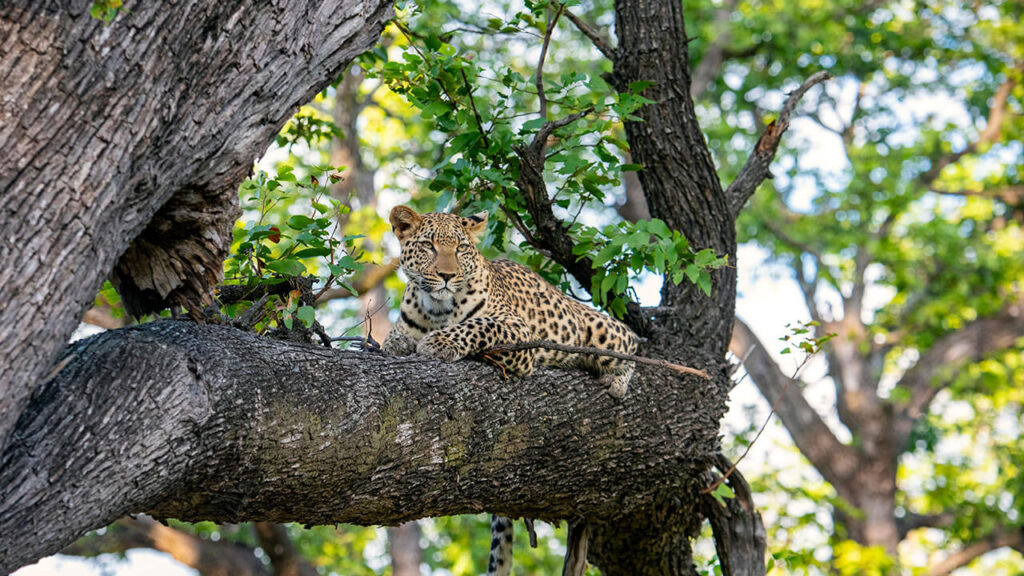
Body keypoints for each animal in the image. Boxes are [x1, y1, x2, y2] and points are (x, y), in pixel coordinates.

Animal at [380, 205, 638, 576]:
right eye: (428, 246)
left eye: (460, 248)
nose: (446, 276)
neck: (436, 308)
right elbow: (395, 337)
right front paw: (399, 342)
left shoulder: (515, 330)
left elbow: (476, 326)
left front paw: (439, 343)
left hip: (599, 330)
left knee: (631, 340)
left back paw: (616, 380)